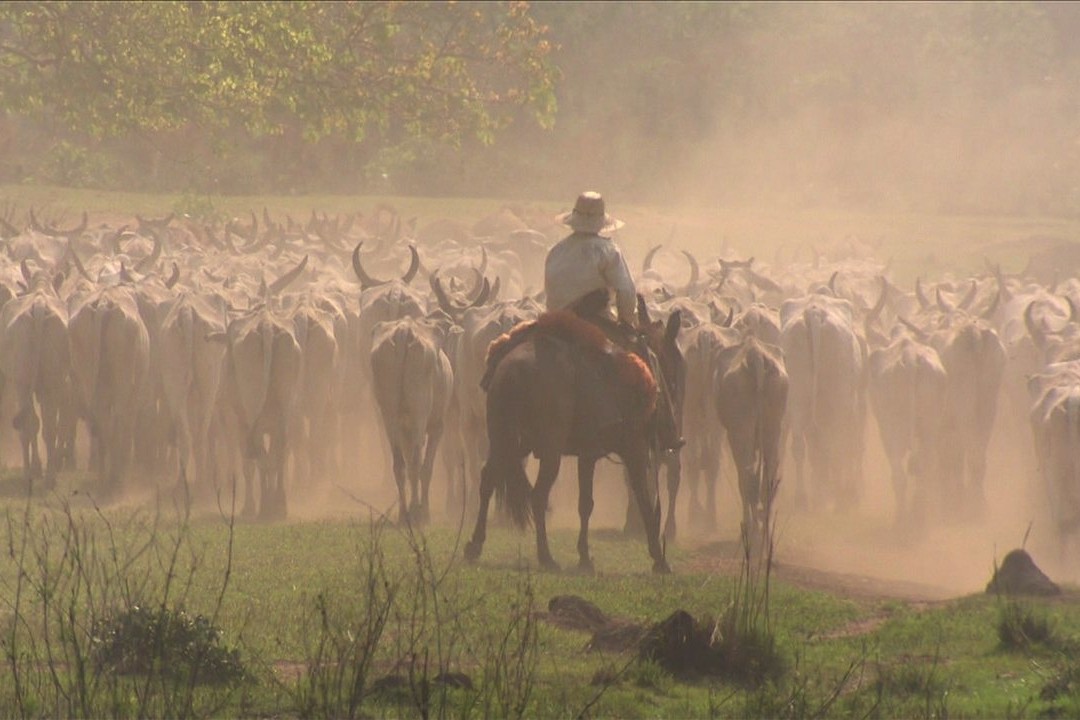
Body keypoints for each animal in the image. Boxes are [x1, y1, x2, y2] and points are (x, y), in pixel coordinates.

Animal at [460, 304, 678, 574]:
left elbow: (586, 503)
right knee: (538, 495)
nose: (674, 437)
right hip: (550, 452)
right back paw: (546, 556)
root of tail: (513, 369)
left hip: (507, 442)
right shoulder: (634, 449)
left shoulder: (588, 454)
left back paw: (475, 544)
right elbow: (644, 498)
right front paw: (659, 557)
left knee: (489, 479)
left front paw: (584, 556)